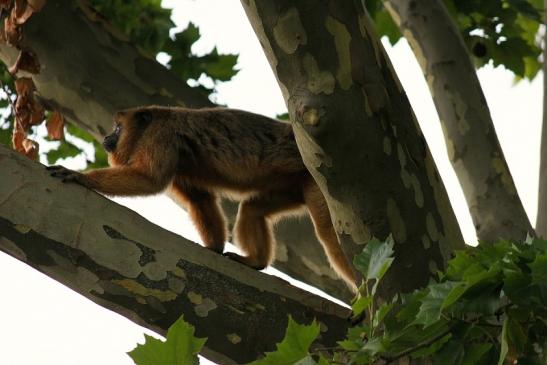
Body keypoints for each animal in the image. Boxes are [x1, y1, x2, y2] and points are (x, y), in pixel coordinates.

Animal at [48, 105, 360, 288]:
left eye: (117, 128)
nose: (106, 137)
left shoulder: (161, 136)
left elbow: (148, 180)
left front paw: (81, 177)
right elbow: (200, 199)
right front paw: (214, 248)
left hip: (318, 182)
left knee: (328, 232)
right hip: (294, 185)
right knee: (252, 209)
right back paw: (255, 262)